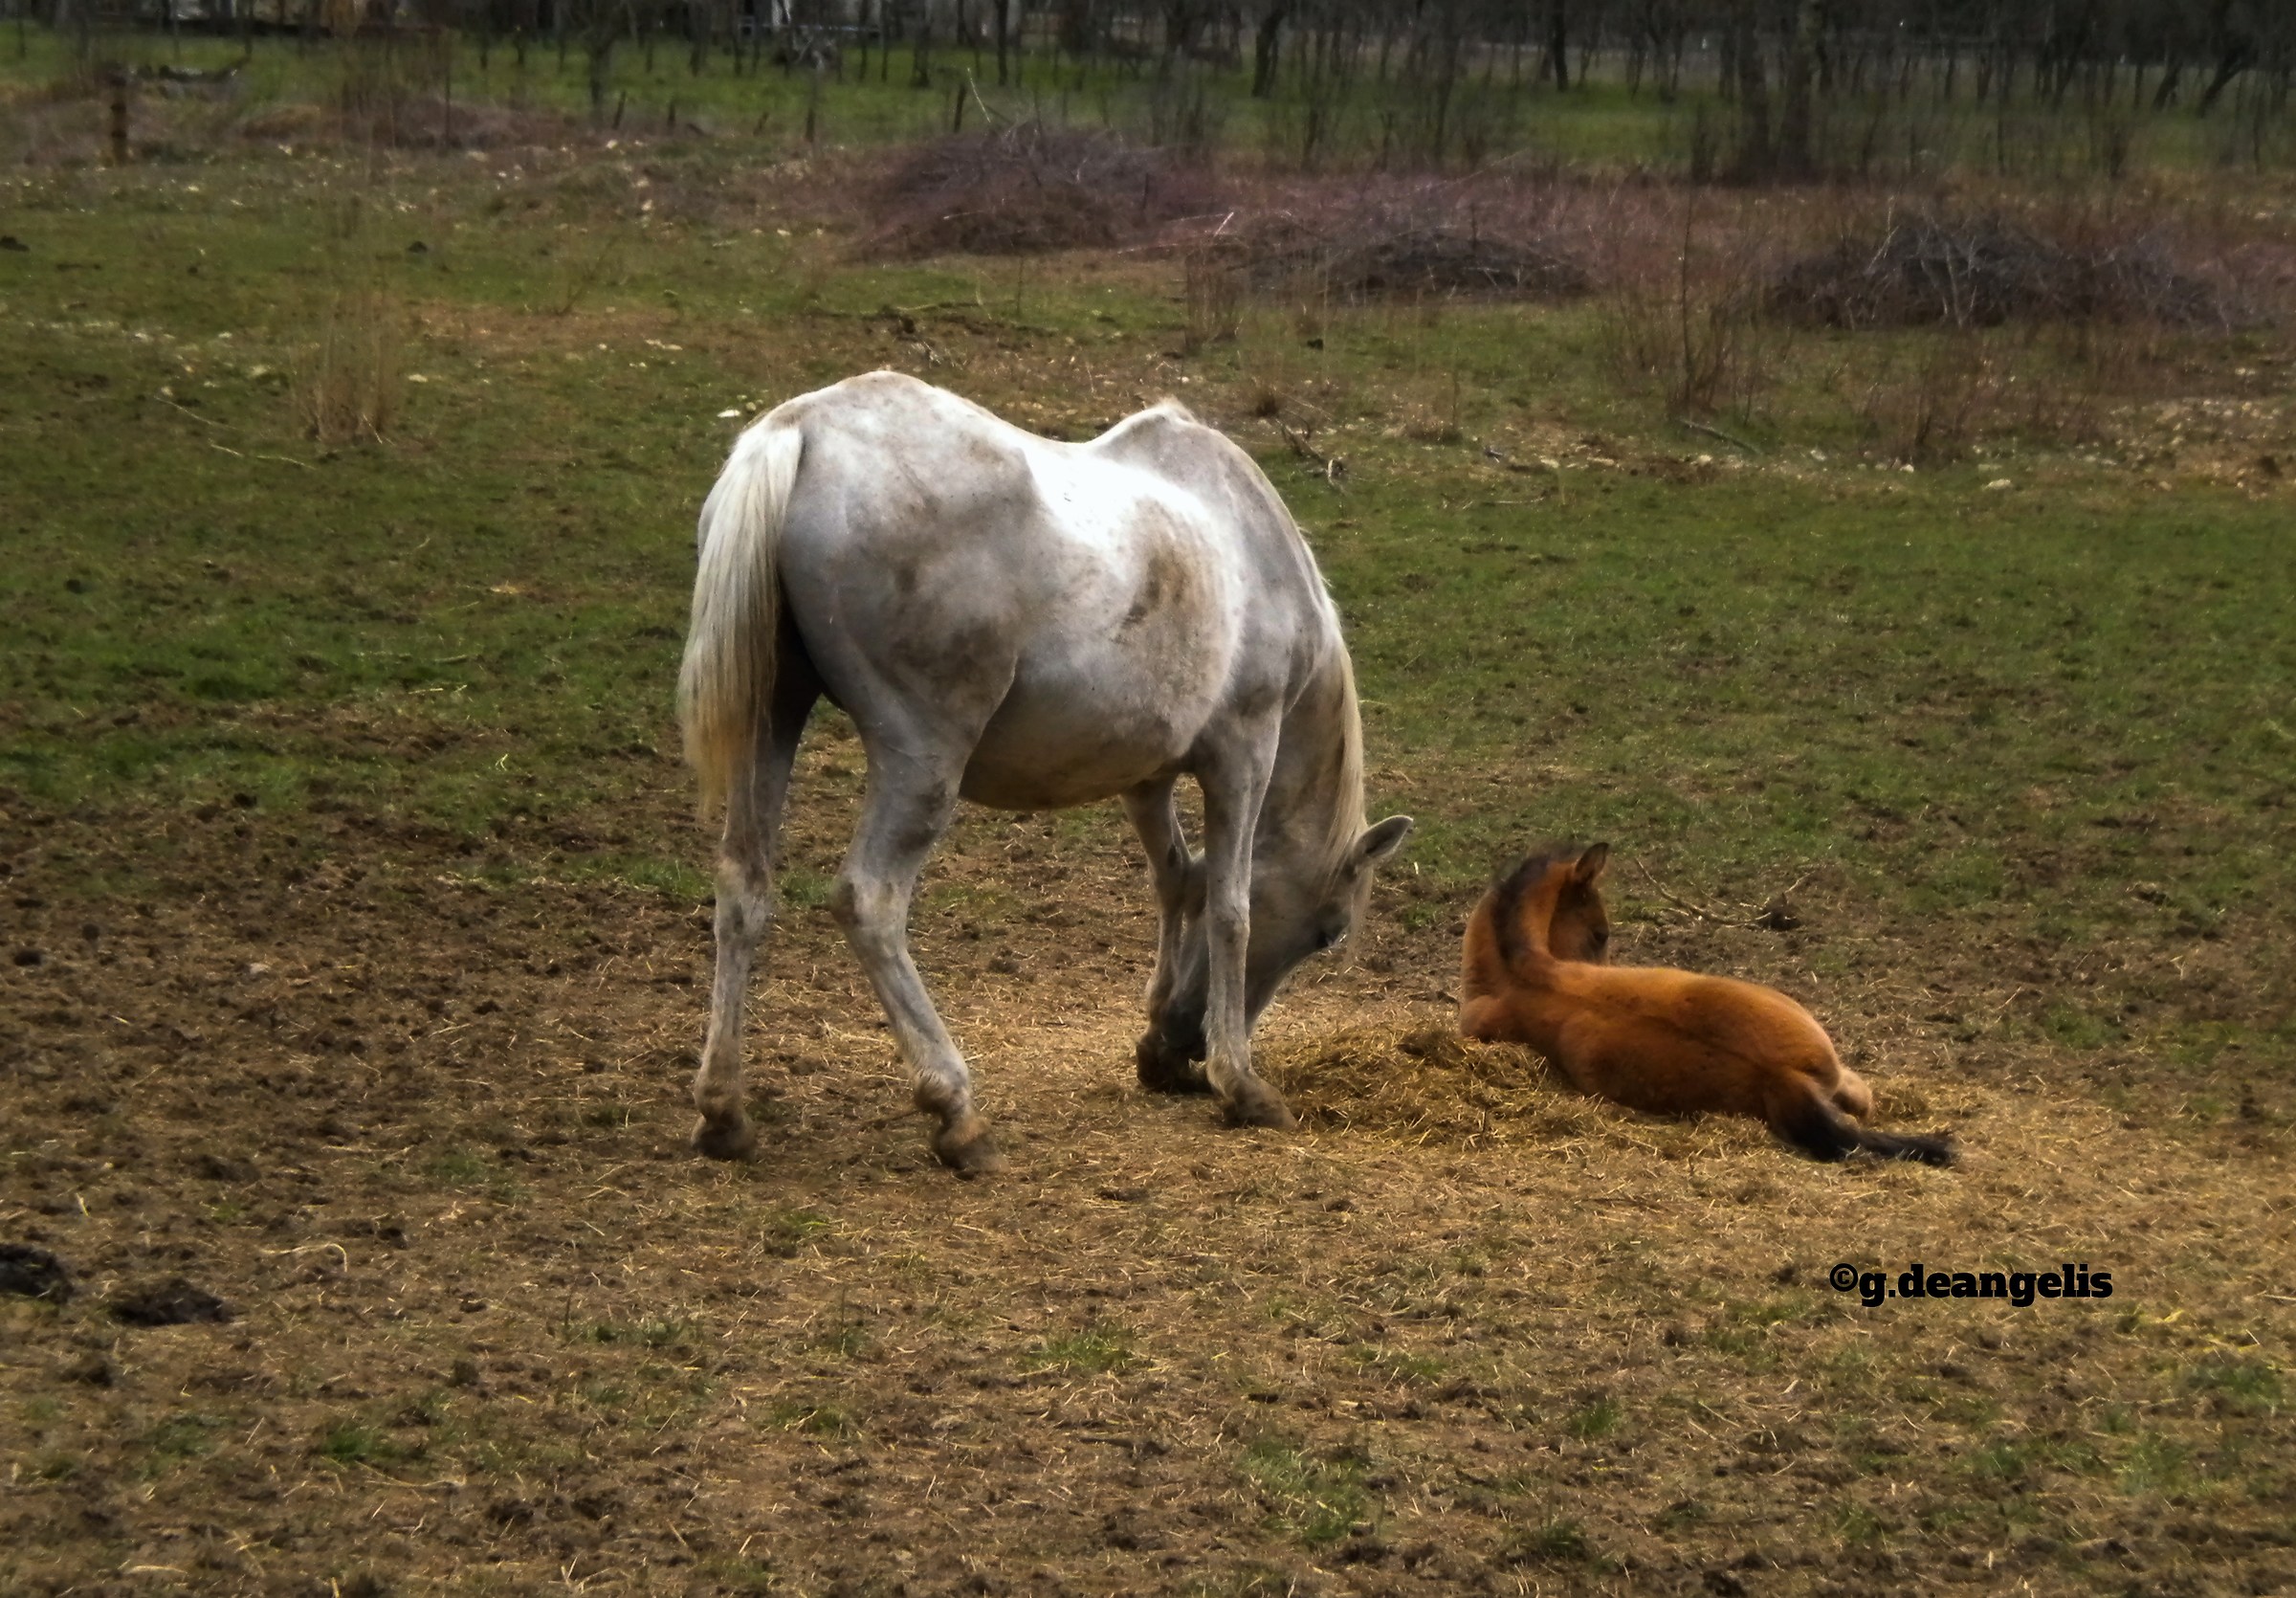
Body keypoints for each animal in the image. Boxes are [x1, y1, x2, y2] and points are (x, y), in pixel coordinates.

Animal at [678, 372, 1413, 1173]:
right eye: (1328, 933)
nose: (1185, 1048)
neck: (1245, 542)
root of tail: (802, 429)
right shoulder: (1243, 753)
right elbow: (1230, 908)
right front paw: (1239, 1082)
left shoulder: (1147, 775)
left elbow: (1177, 880)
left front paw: (1158, 1035)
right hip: (922, 757)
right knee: (870, 901)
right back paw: (956, 1111)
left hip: (771, 721)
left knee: (743, 887)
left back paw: (723, 1111)